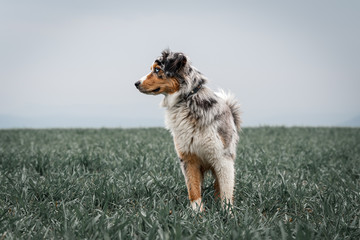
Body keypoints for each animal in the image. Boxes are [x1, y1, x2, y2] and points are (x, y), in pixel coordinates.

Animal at [136, 49, 242, 211]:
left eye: (157, 70)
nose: (136, 83)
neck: (186, 100)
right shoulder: (188, 157)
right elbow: (193, 189)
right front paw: (197, 213)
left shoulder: (222, 158)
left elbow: (226, 191)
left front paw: (226, 213)